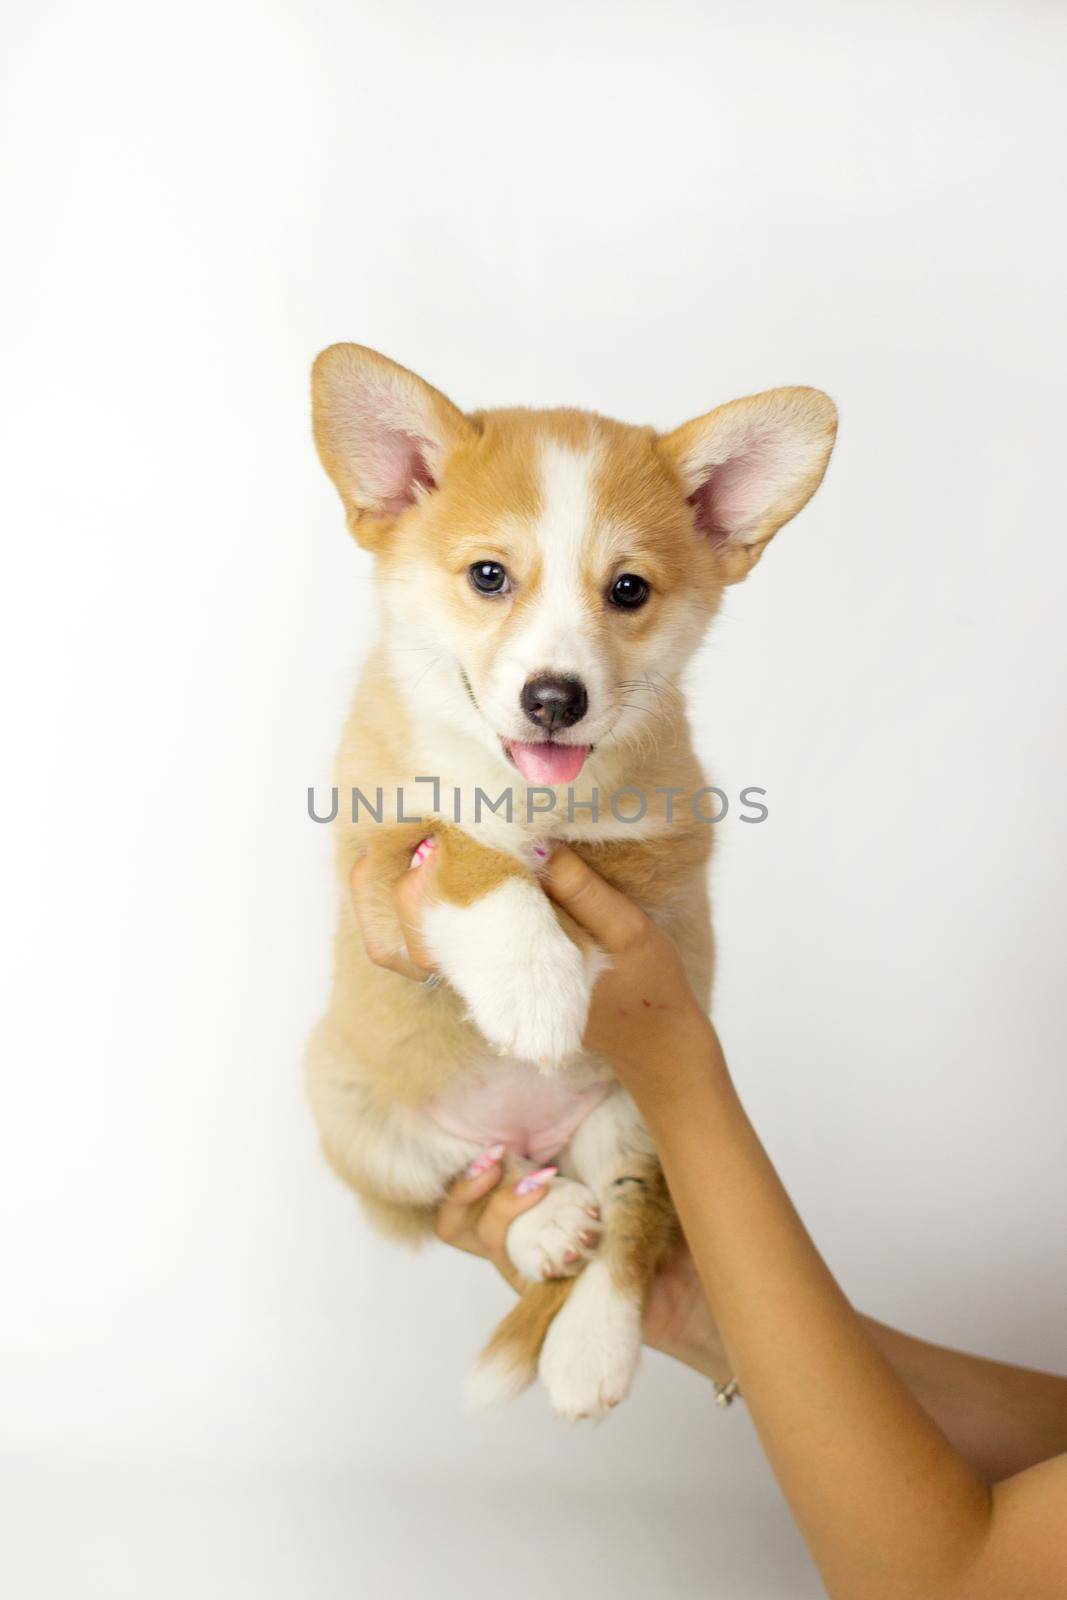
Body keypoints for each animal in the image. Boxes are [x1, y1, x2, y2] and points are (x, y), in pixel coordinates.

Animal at [303, 344, 838, 1420]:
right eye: (488, 576)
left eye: (627, 589)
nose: (554, 698)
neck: (527, 789)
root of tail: (541, 1140)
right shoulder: (375, 842)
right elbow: (471, 846)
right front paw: (529, 984)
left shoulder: (666, 851)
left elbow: (552, 871)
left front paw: (544, 980)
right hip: (347, 1107)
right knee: (460, 1178)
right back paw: (542, 1219)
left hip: (638, 1118)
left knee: (629, 1221)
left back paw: (591, 1344)